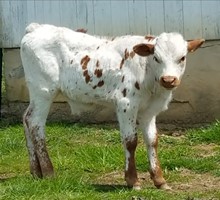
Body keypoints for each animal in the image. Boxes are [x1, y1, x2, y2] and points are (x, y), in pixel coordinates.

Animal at [20, 23, 205, 189]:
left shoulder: (149, 111)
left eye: (182, 58)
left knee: (26, 118)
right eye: (157, 58)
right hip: (43, 90)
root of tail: (36, 28)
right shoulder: (126, 104)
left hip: (36, 94)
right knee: (36, 124)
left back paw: (36, 172)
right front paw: (133, 181)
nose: (168, 79)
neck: (147, 72)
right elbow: (130, 141)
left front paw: (159, 180)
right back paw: (48, 172)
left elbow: (152, 140)